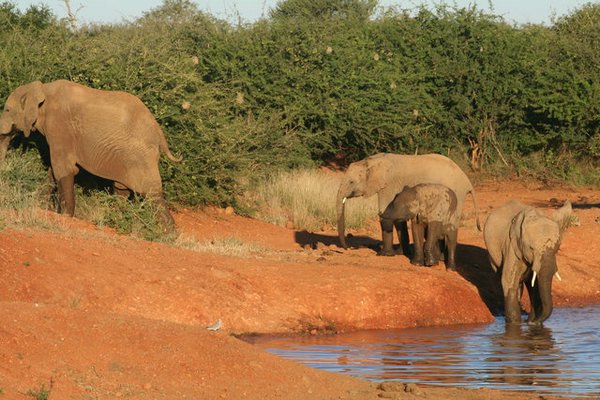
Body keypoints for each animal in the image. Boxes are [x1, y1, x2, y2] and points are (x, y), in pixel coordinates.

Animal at [0, 79, 183, 233]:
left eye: (7, 110)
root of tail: (160, 134)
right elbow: (54, 170)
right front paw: (42, 207)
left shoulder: (60, 125)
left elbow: (65, 169)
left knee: (151, 193)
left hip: (141, 155)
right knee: (121, 190)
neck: (43, 90)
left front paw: (66, 216)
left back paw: (170, 235)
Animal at [338, 152, 482, 255]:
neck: (370, 161)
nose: (347, 248)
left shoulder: (389, 185)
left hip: (456, 194)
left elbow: (385, 213)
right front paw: (400, 253)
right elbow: (396, 215)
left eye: (351, 182)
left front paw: (385, 254)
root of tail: (468, 182)